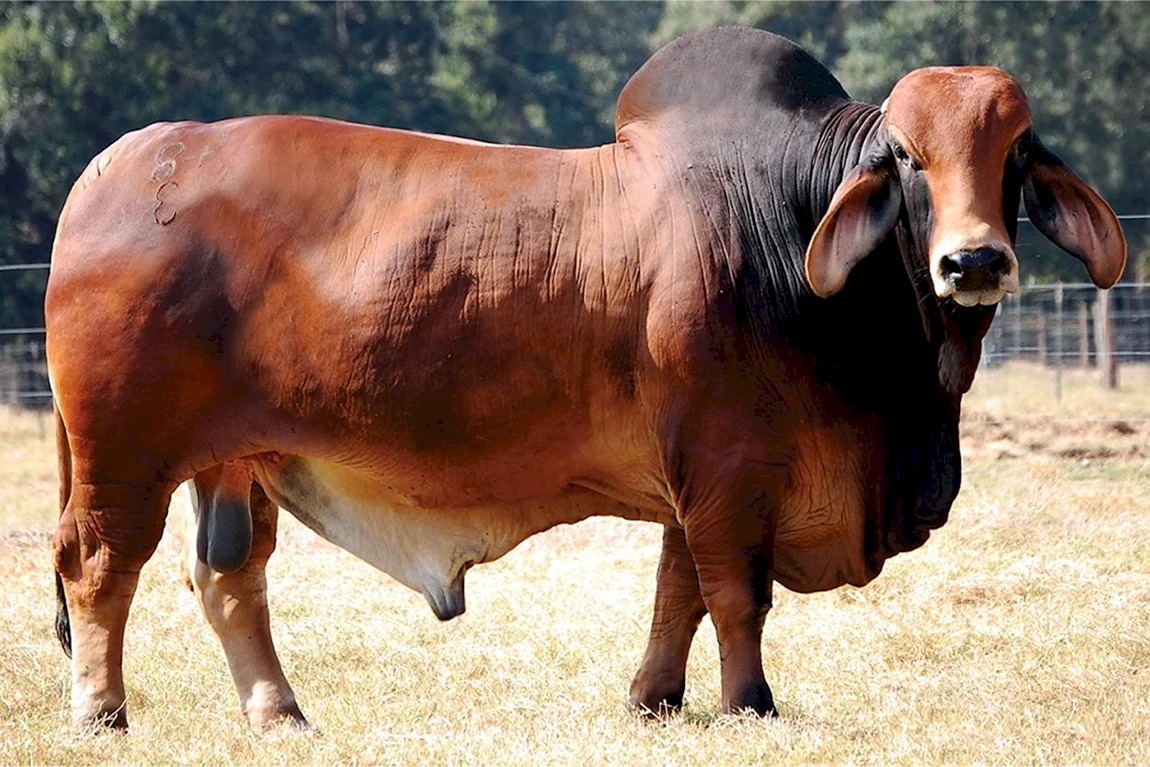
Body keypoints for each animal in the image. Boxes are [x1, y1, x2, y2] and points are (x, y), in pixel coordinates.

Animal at [47, 26, 1124, 730]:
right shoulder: (729, 469)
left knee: (229, 576)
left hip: (232, 460)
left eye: (1016, 155)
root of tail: (115, 164)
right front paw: (749, 702)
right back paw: (103, 711)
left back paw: (279, 712)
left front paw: (657, 698)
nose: (973, 261)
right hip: (124, 455)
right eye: (906, 157)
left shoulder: (703, 472)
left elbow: (678, 589)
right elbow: (735, 593)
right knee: (99, 565)